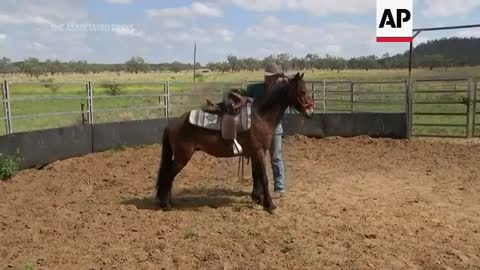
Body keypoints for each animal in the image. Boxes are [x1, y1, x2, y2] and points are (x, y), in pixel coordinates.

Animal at [155, 71, 316, 213]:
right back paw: (165, 204)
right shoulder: (258, 152)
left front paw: (258, 199)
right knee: (168, 175)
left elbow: (257, 175)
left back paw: (167, 200)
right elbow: (264, 178)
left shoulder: (256, 152)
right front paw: (270, 205)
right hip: (182, 158)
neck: (259, 116)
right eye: (302, 91)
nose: (311, 113)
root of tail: (172, 125)